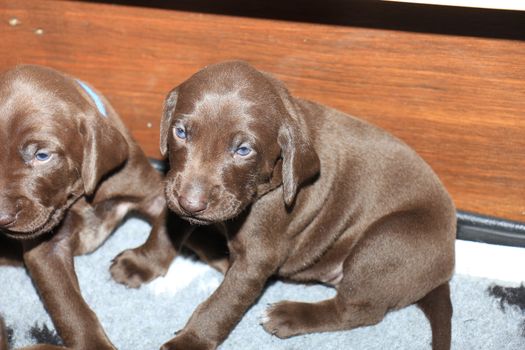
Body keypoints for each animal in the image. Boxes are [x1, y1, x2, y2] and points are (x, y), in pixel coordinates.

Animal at [0, 65, 176, 348]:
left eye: (42, 155)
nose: (1, 217)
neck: (81, 196)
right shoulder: (46, 251)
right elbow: (72, 309)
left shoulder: (152, 194)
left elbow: (166, 231)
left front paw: (140, 265)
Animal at [127, 61, 454, 348]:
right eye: (181, 132)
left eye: (243, 150)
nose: (192, 203)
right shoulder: (175, 185)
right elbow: (165, 228)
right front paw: (142, 262)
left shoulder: (257, 257)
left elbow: (222, 303)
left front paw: (190, 341)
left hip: (388, 242)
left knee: (358, 310)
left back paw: (289, 315)